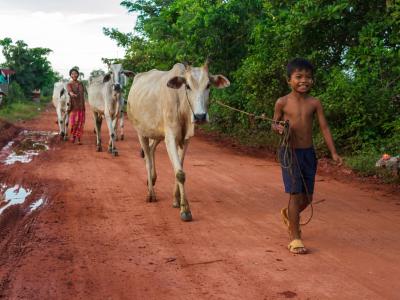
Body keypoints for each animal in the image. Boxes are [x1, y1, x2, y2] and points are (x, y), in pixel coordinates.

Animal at [126, 61, 230, 220]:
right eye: (187, 86)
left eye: (208, 85)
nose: (200, 116)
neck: (182, 104)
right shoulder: (170, 138)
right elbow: (180, 173)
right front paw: (185, 210)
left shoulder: (185, 140)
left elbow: (179, 168)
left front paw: (176, 200)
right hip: (141, 132)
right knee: (147, 159)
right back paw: (150, 193)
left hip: (157, 133)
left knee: (151, 149)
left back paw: (153, 179)